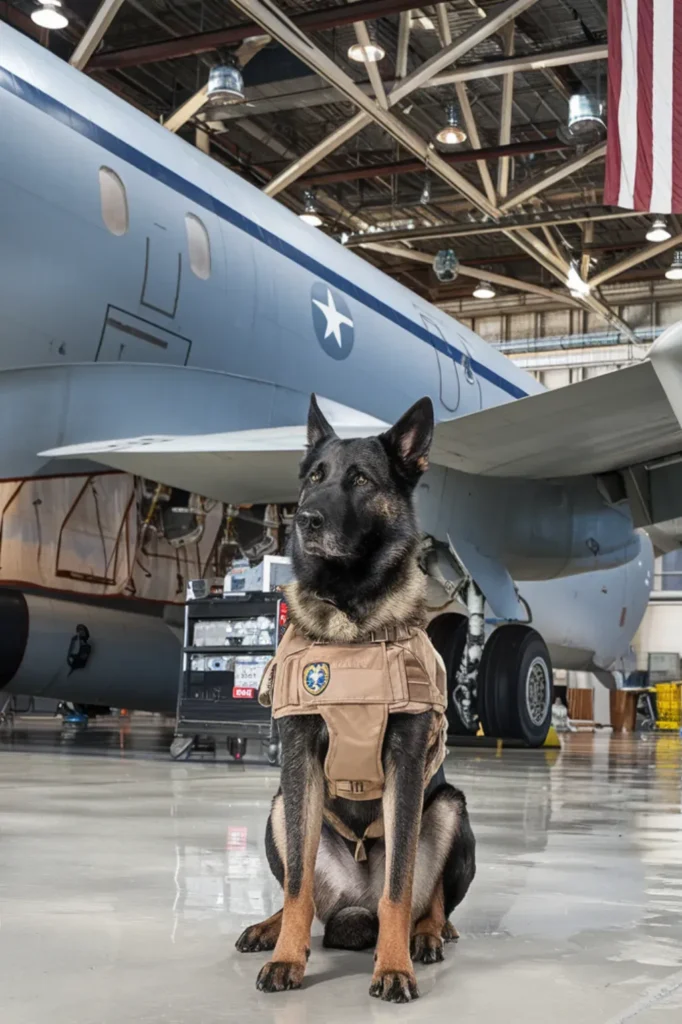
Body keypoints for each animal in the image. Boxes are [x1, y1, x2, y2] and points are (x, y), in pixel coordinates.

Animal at [236, 395, 475, 1003]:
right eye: (313, 478)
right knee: (302, 892)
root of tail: (353, 905)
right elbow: (297, 883)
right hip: (281, 807)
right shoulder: (299, 763)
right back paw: (271, 929)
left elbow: (399, 888)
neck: (349, 622)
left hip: (449, 808)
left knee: (427, 899)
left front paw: (392, 967)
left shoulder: (406, 765)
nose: (305, 520)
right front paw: (286, 957)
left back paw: (427, 935)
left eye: (361, 480)